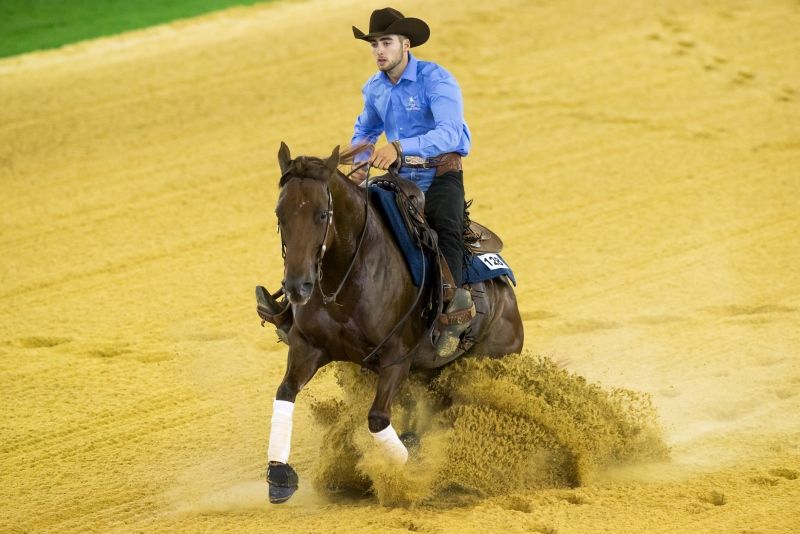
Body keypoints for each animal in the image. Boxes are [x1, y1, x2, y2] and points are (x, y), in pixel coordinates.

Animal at [265, 142, 524, 503]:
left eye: (322, 214)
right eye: (280, 215)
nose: (297, 287)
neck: (347, 281)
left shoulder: (396, 359)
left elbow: (376, 419)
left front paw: (411, 472)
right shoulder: (308, 347)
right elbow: (286, 392)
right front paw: (279, 475)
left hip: (489, 362)